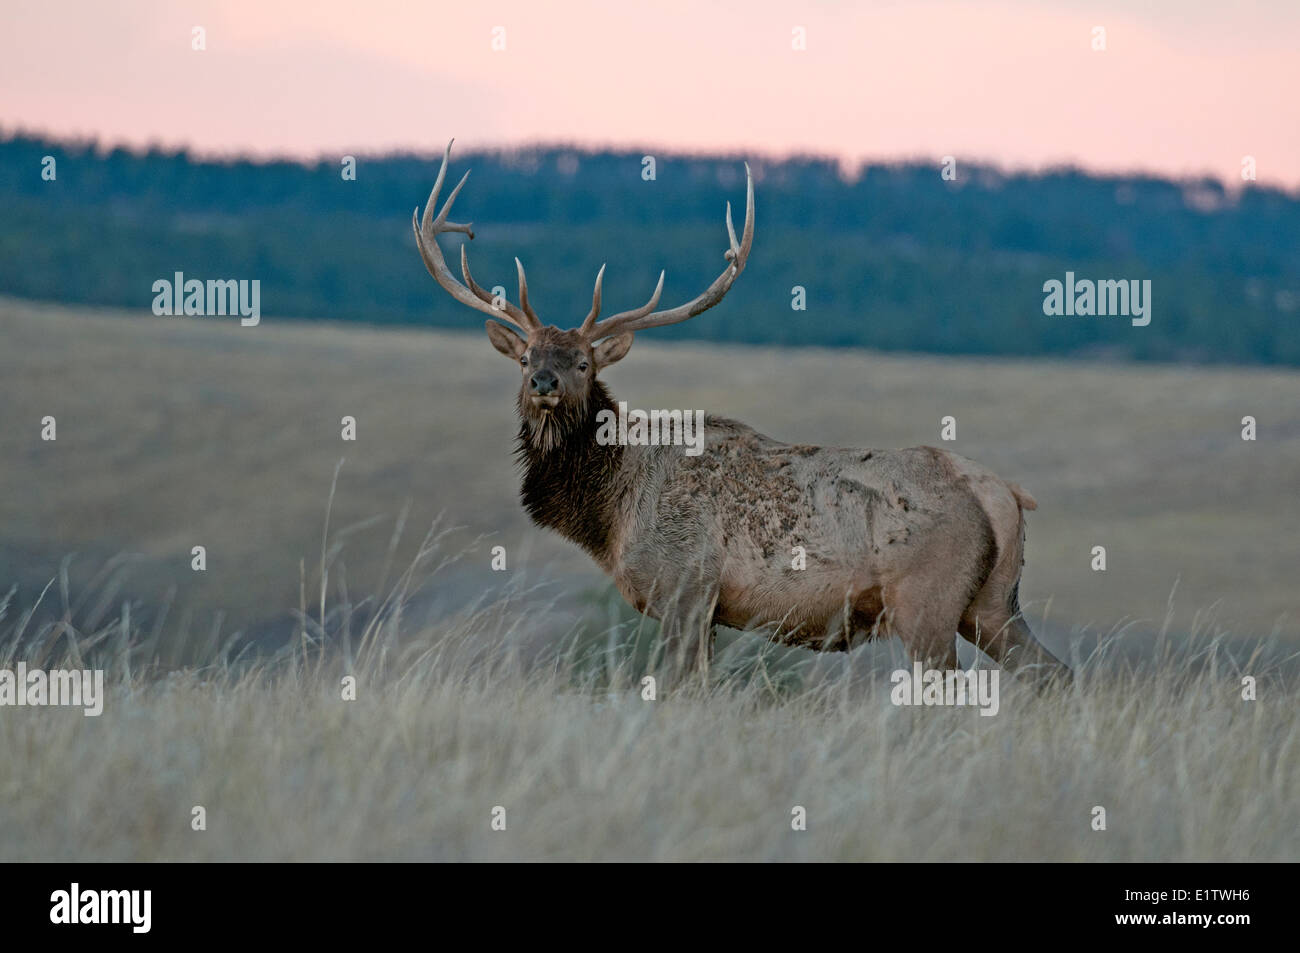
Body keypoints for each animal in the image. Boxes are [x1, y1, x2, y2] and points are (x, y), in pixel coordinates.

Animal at [413, 139, 1066, 686]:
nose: (544, 381)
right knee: (1054, 674)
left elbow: (677, 688)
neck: (613, 512)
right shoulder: (702, 609)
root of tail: (1004, 494)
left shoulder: (685, 586)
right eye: (525, 357)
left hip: (926, 602)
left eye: (582, 362)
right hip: (991, 604)